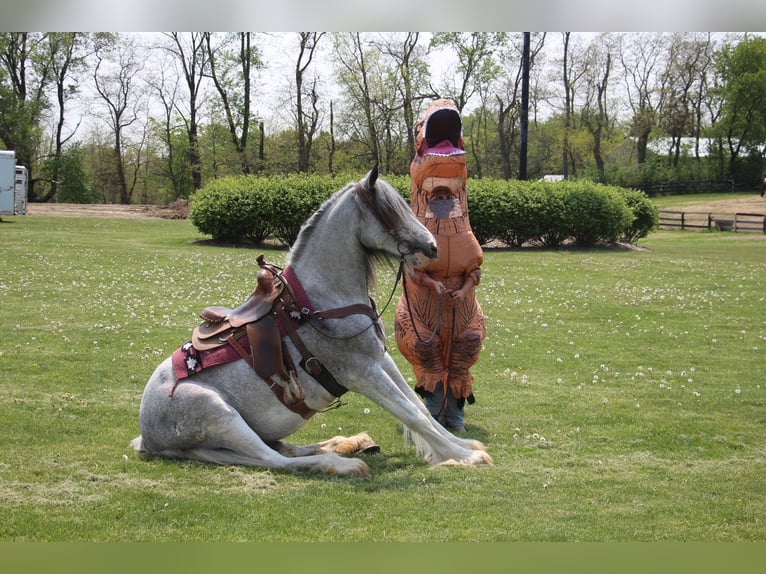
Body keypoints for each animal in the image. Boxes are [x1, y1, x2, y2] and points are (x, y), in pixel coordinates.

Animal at [130, 166, 496, 476]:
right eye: (389, 210)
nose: (433, 247)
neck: (321, 303)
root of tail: (147, 436)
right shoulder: (361, 373)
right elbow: (410, 413)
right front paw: (464, 456)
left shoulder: (380, 360)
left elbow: (418, 407)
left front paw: (460, 445)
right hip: (221, 416)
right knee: (273, 459)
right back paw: (342, 463)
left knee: (284, 449)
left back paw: (349, 443)